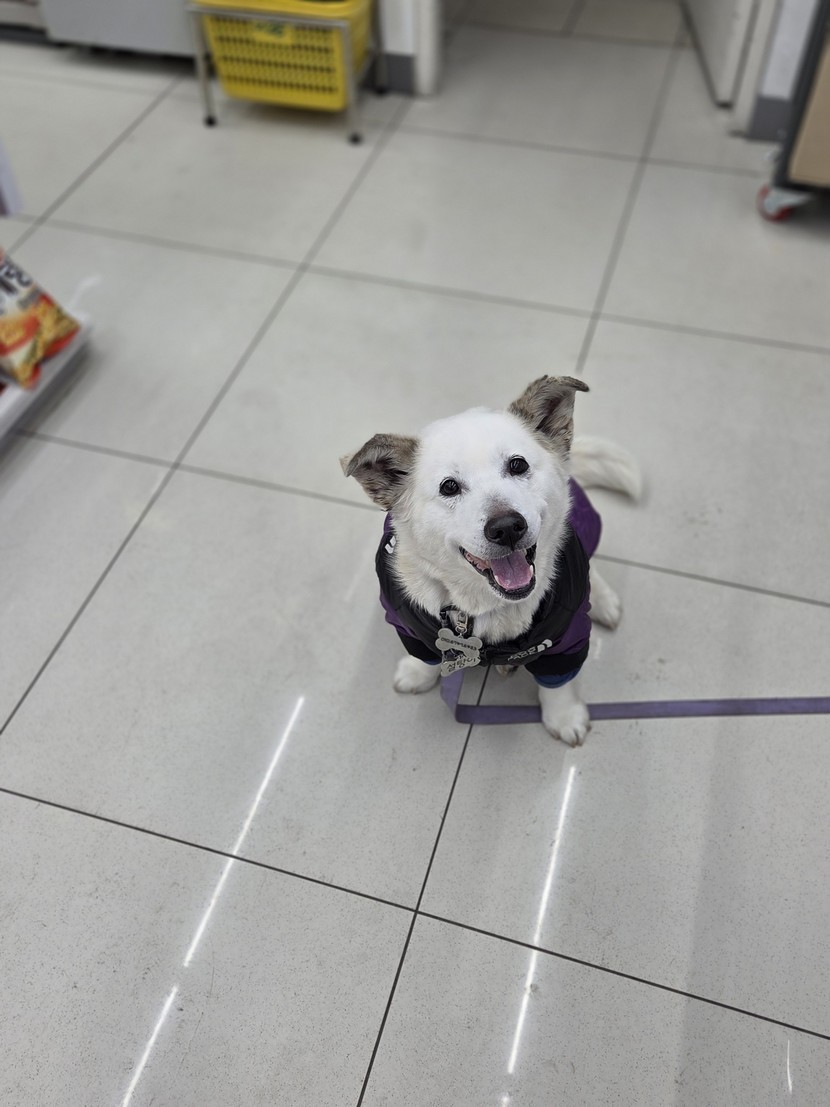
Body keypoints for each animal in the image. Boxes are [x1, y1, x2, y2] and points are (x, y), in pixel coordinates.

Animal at [341, 376, 640, 745]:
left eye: (518, 465)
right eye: (449, 486)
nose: (507, 527)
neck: (485, 606)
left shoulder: (566, 639)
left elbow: (558, 686)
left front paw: (565, 716)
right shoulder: (407, 622)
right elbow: (424, 654)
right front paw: (417, 673)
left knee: (591, 567)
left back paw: (603, 601)